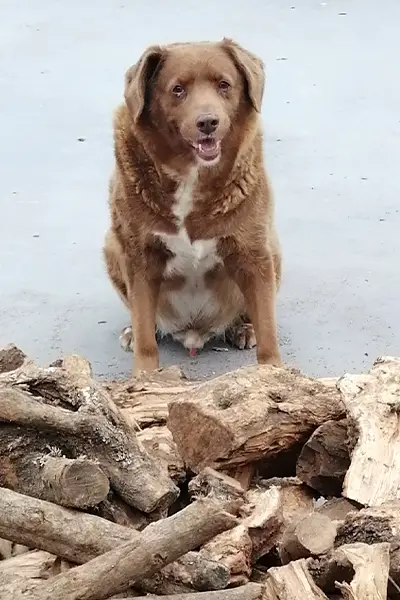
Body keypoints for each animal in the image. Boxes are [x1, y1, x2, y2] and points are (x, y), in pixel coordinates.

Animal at [104, 37, 282, 372]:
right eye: (178, 89)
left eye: (224, 84)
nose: (208, 122)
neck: (191, 174)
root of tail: (193, 331)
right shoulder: (139, 256)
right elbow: (145, 331)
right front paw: (145, 374)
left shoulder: (253, 252)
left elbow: (268, 328)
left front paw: (274, 372)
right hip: (111, 244)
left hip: (274, 250)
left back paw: (243, 328)